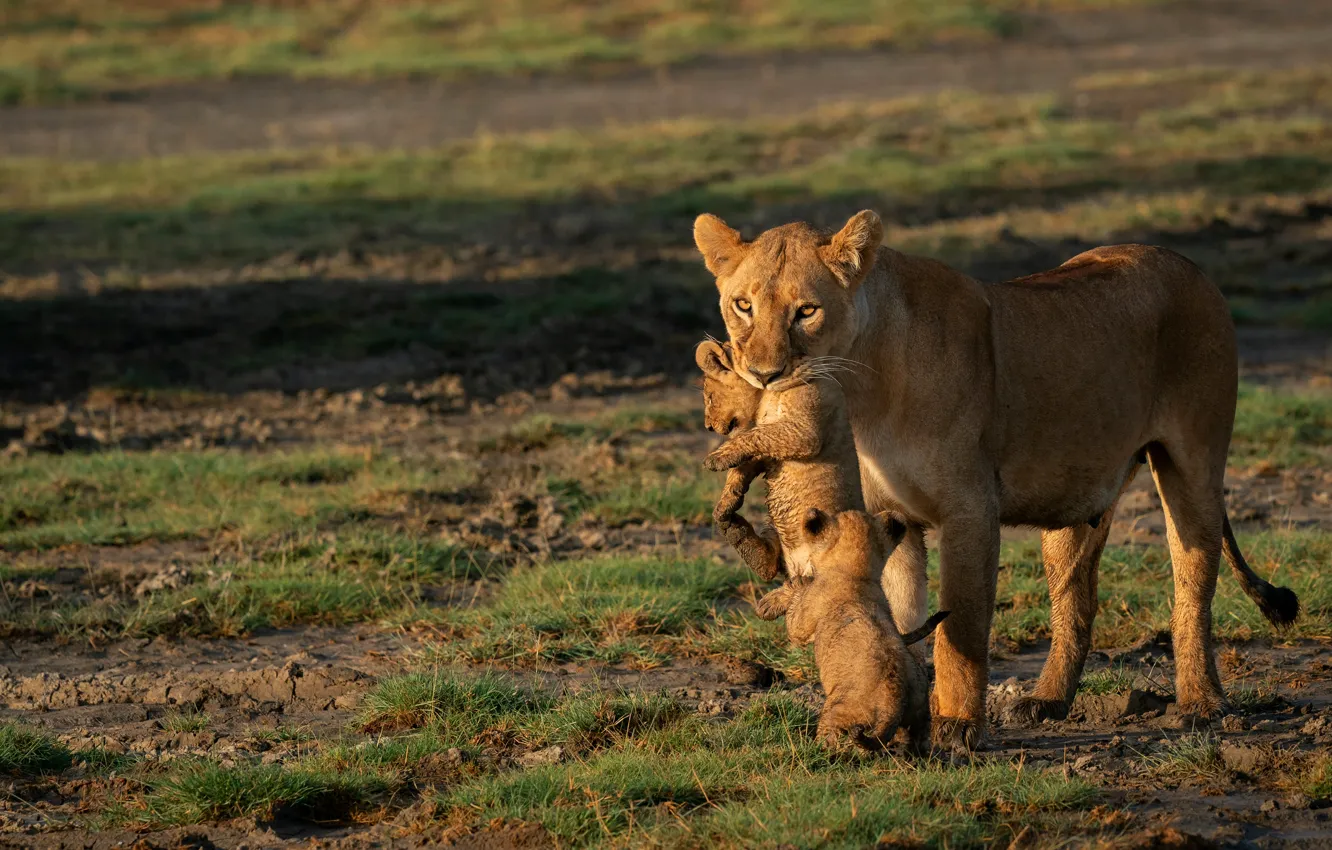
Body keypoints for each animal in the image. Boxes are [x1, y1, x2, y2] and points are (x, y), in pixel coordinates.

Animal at [753, 507, 949, 752]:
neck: (855, 573)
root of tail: (893, 699)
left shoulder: (802, 621)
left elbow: (797, 596)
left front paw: (769, 604)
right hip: (919, 711)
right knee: (917, 740)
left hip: (838, 710)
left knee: (832, 736)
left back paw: (817, 750)